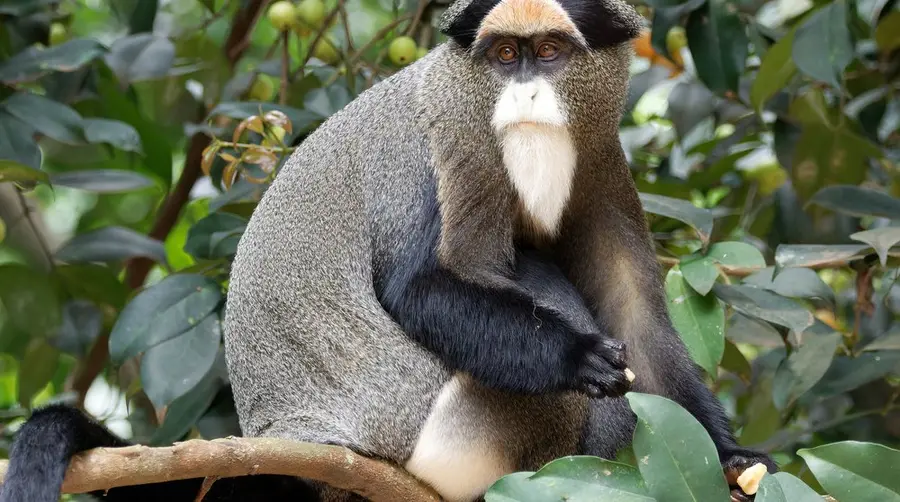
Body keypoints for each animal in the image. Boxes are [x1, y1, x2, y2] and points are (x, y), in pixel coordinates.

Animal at [0, 0, 776, 501]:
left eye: (550, 54)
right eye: (505, 56)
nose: (526, 92)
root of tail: (290, 436)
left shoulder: (602, 162)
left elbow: (632, 306)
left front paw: (731, 458)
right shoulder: (450, 152)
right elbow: (421, 288)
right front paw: (578, 355)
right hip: (449, 432)